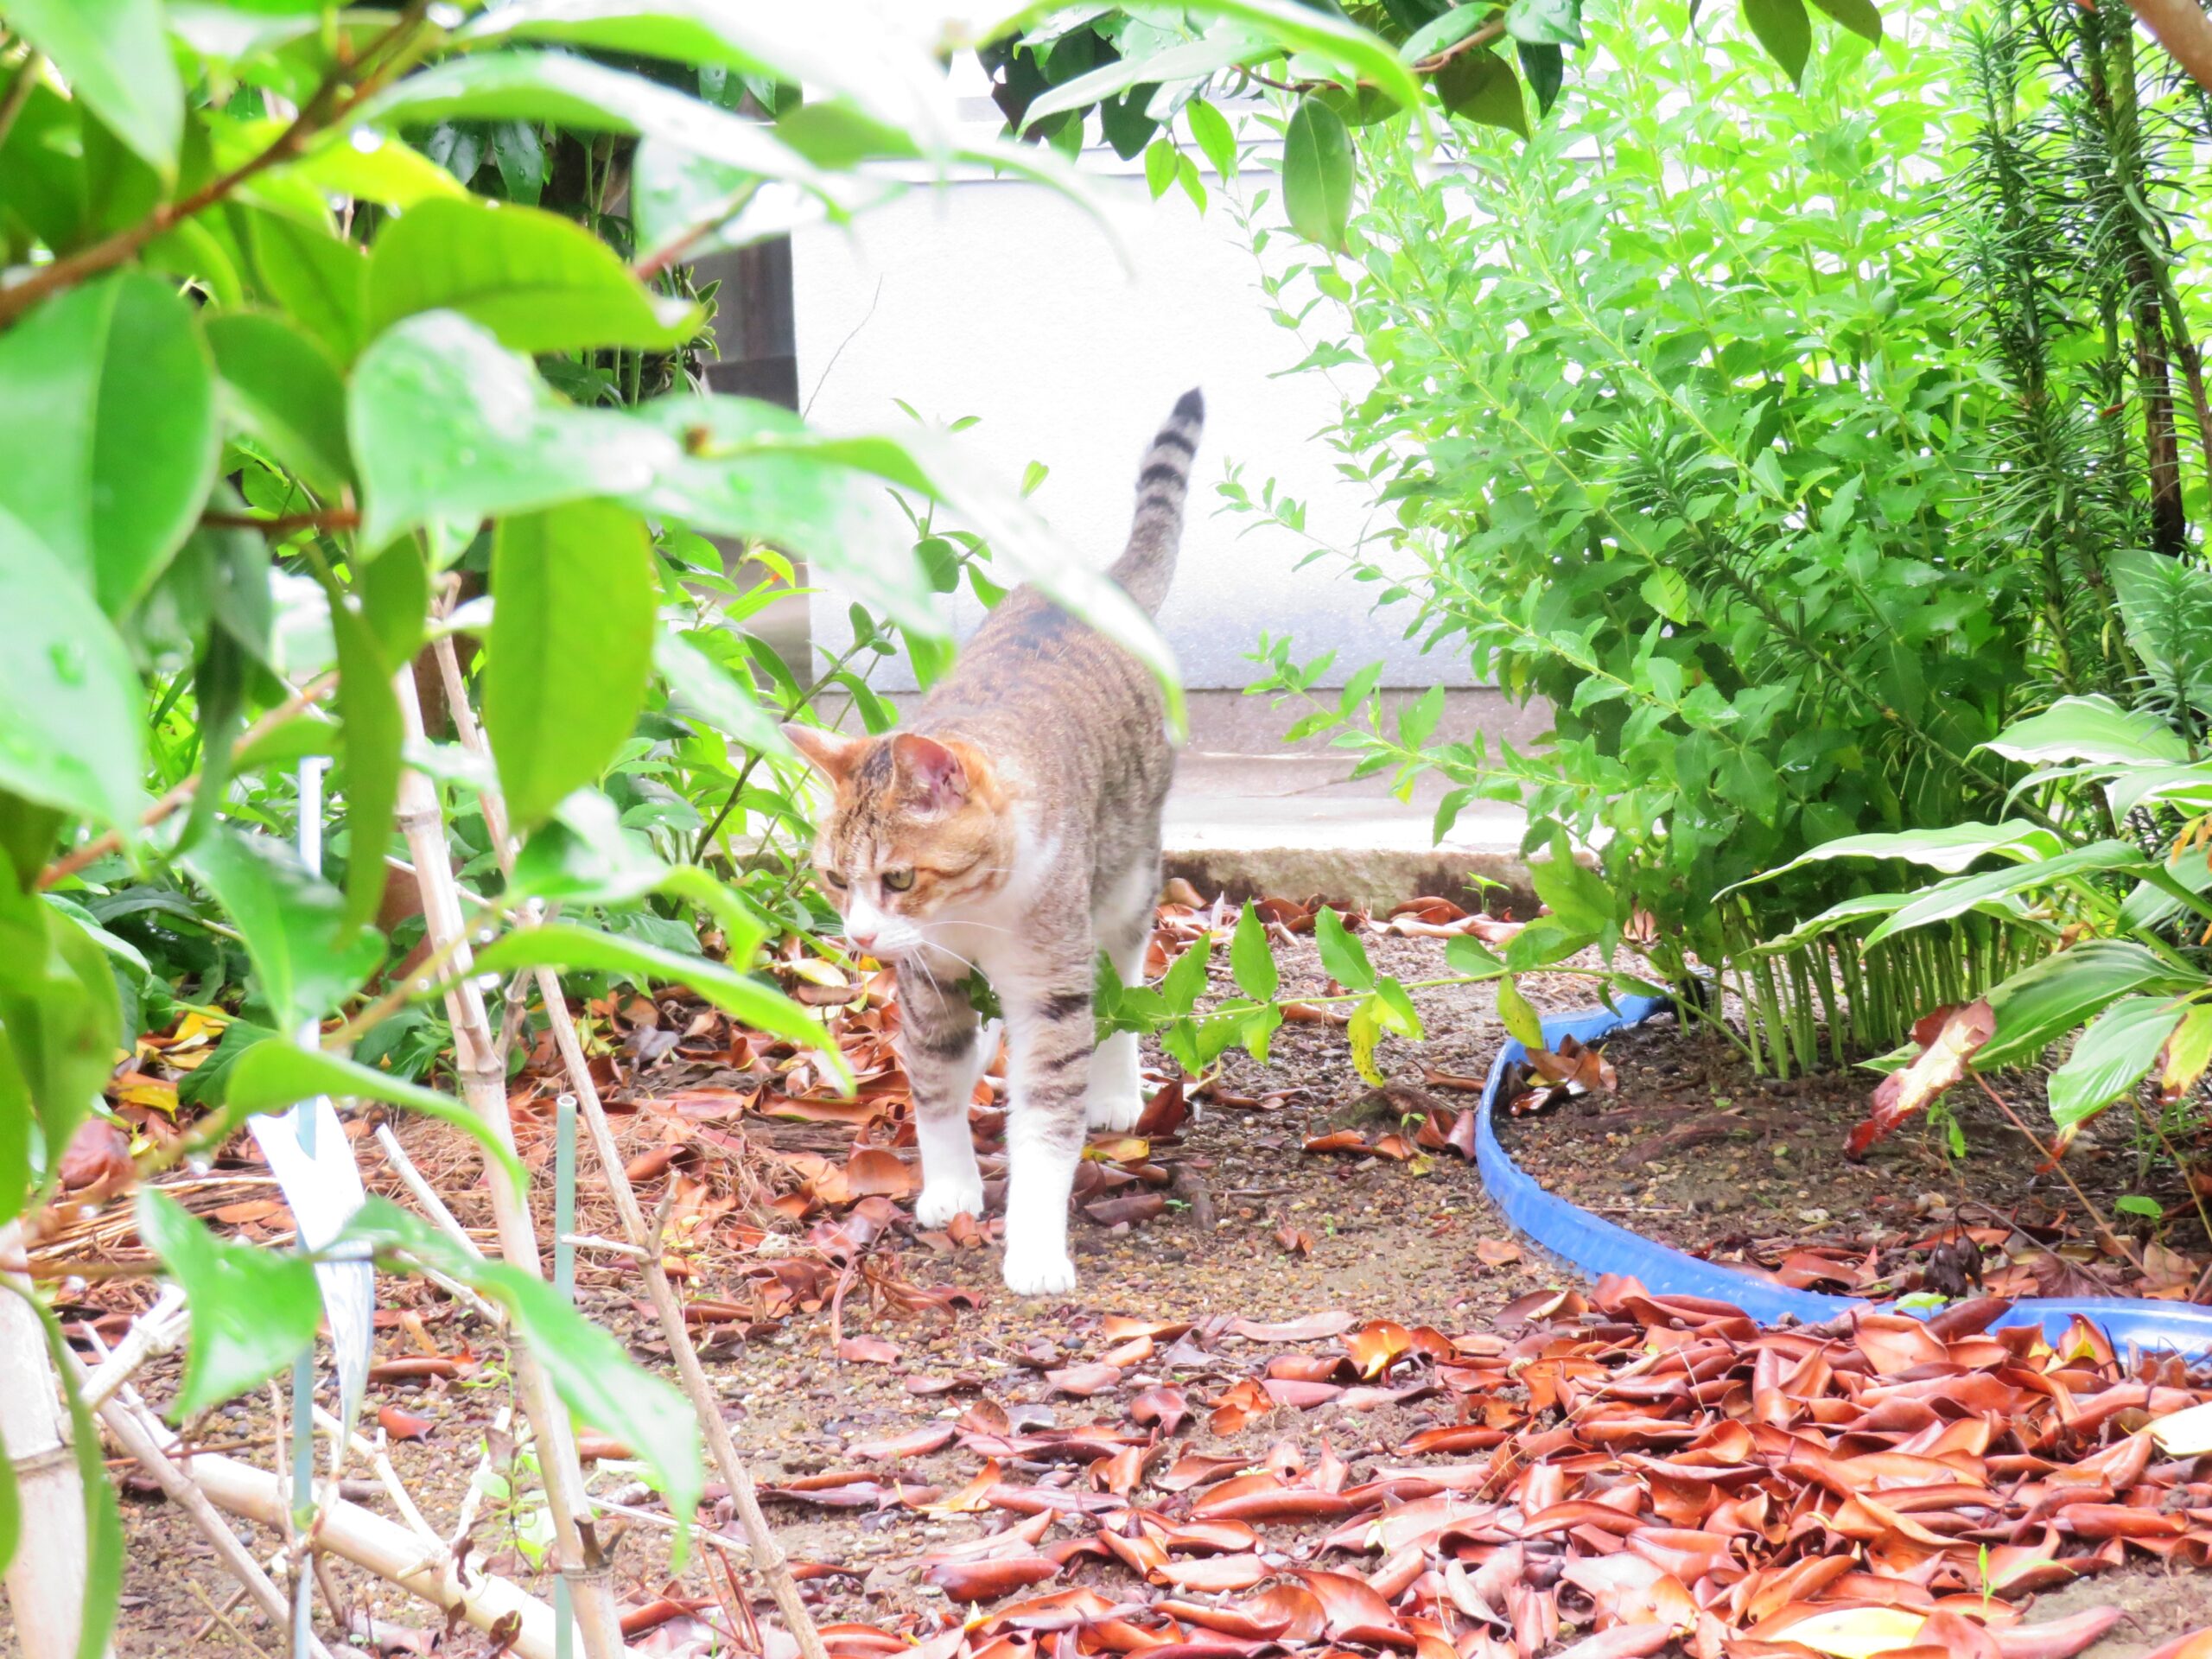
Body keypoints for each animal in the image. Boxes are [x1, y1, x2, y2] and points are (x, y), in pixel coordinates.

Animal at [783, 389, 1211, 1300]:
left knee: (1122, 978)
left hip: (1126, 878)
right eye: (836, 878)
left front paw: (1035, 1245)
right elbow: (936, 1083)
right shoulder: (928, 978)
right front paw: (950, 1185)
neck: (972, 913)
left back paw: (1116, 1084)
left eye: (898, 878)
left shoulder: (1049, 984)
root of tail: (1105, 582)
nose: (860, 937)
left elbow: (1047, 1121)